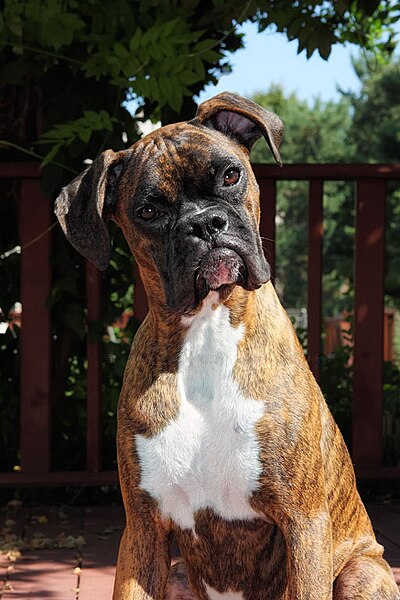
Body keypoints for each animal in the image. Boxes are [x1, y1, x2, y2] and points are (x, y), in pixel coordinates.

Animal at [54, 94, 400, 600]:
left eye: (231, 175)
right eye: (148, 212)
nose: (205, 224)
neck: (206, 331)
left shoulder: (304, 523)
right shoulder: (143, 531)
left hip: (360, 571)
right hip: (178, 572)